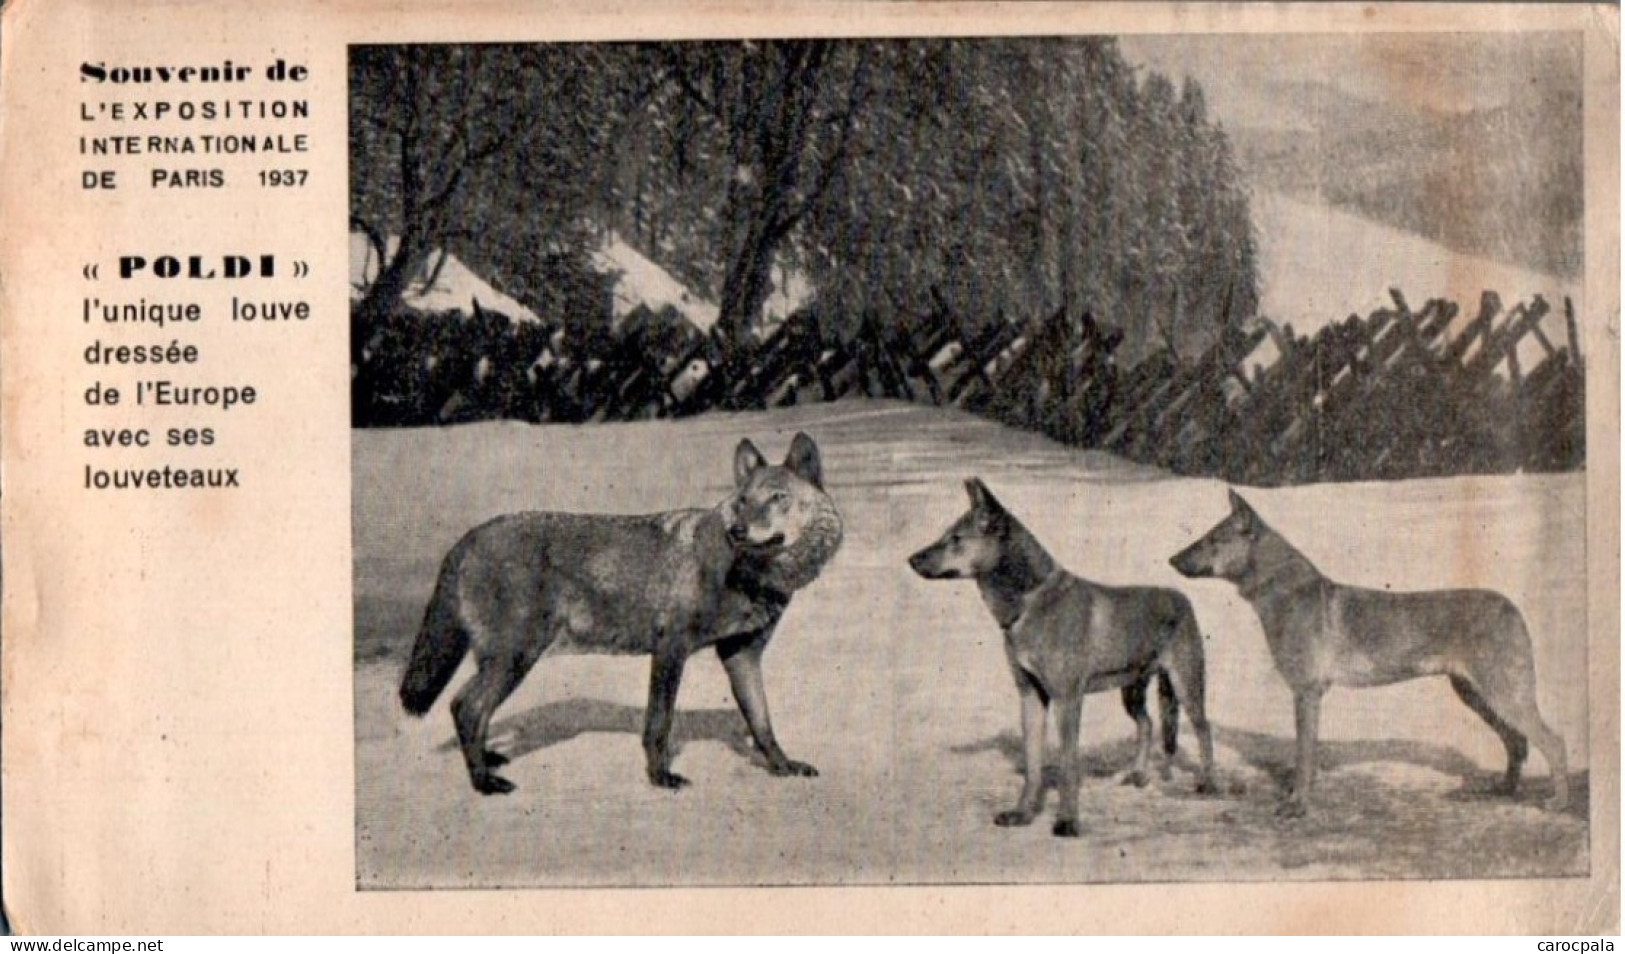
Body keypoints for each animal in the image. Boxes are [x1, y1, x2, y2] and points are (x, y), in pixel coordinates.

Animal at [399, 432, 845, 789]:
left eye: (778, 498)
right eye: (743, 502)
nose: (738, 531)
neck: (746, 571)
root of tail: (468, 538)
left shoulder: (742, 657)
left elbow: (763, 724)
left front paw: (783, 767)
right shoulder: (671, 650)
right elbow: (659, 725)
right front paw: (660, 778)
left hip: (504, 661)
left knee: (469, 710)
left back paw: (487, 762)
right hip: (515, 659)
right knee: (466, 707)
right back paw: (483, 783)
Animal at [910, 477, 1215, 838]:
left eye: (956, 539)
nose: (911, 559)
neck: (1030, 600)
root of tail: (1182, 599)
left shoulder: (1067, 699)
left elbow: (1069, 764)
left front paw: (1067, 821)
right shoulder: (1031, 696)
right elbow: (1033, 764)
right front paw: (1023, 813)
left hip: (1186, 684)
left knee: (1203, 729)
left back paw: (1208, 784)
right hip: (1132, 689)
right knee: (1147, 724)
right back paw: (1139, 775)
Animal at [1176, 494, 1566, 812]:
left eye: (1213, 540)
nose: (1171, 558)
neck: (1284, 590)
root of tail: (1510, 607)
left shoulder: (1306, 692)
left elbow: (1303, 756)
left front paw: (1297, 805)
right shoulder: (1310, 695)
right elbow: (1309, 754)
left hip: (1503, 694)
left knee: (1553, 741)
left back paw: (1556, 801)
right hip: (1478, 695)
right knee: (1516, 743)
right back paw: (1504, 790)